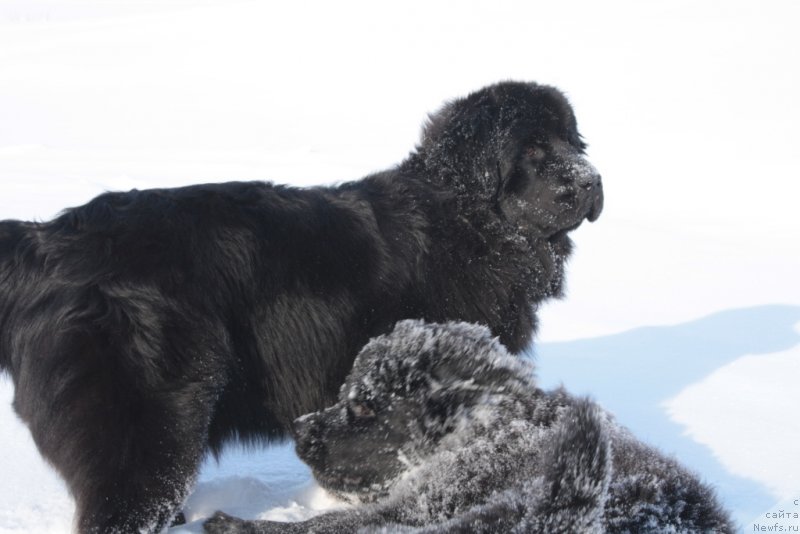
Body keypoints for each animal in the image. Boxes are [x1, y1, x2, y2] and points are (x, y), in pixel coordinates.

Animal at [0, 81, 604, 532]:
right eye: (532, 150)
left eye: (575, 143)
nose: (592, 182)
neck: (465, 222)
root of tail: (43, 241)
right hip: (147, 430)